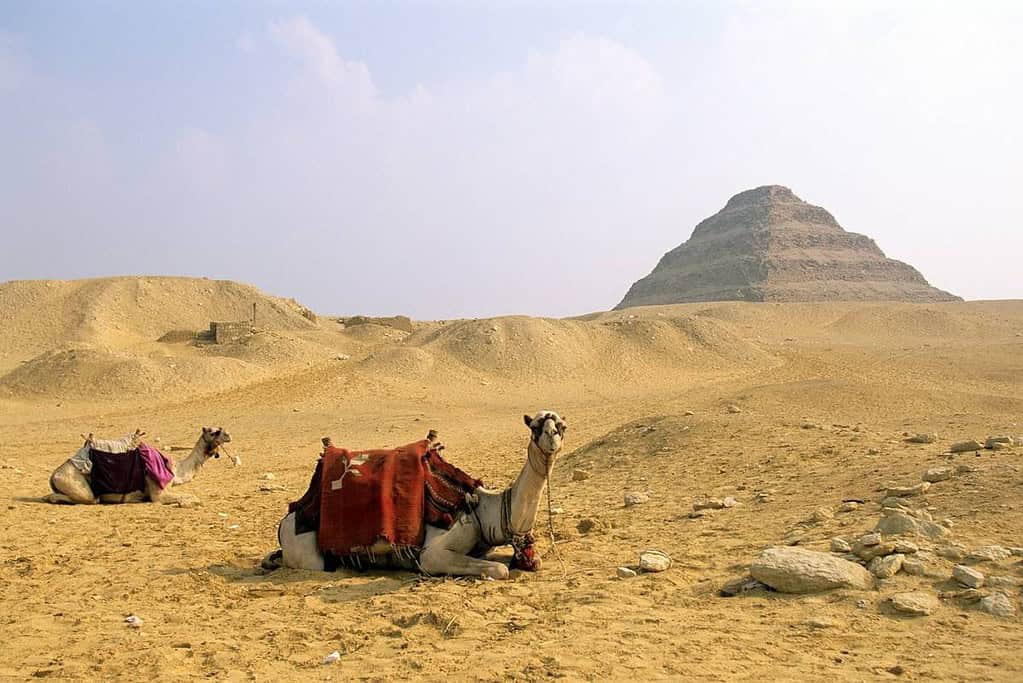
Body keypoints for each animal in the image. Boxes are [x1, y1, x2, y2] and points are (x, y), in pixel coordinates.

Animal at [45, 427, 234, 507]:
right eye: (214, 432)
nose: (228, 435)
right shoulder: (157, 491)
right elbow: (190, 496)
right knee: (90, 498)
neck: (175, 469)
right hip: (76, 482)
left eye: (221, 428)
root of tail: (54, 475)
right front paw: (185, 503)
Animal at [263, 408, 568, 580]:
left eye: (562, 426)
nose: (551, 437)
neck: (486, 509)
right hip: (306, 553)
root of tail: (285, 522)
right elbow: (499, 570)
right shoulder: (433, 553)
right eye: (534, 426)